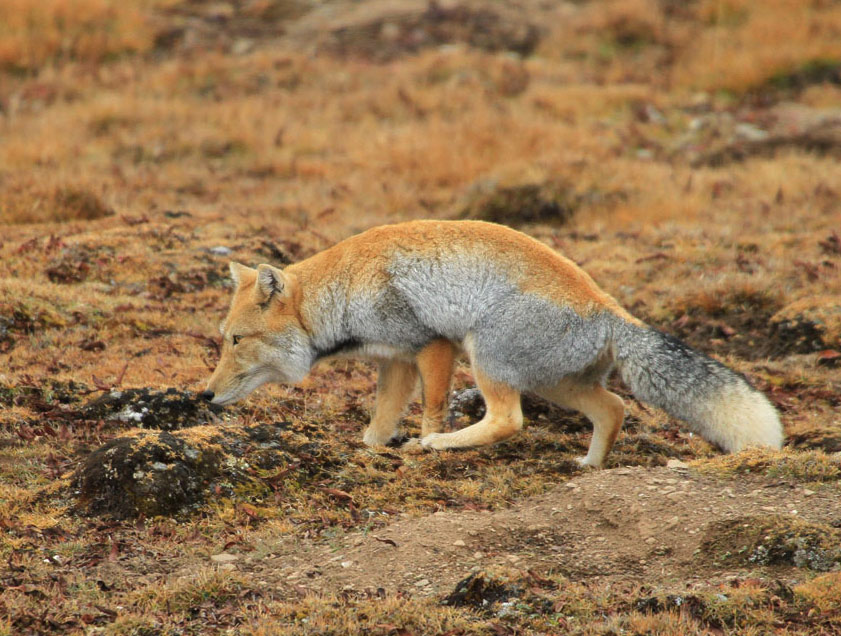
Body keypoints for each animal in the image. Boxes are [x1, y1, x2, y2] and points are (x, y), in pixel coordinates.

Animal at [200, 220, 784, 468]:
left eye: (236, 341)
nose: (204, 395)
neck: (342, 290)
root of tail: (610, 309)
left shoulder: (432, 346)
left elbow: (431, 412)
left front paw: (422, 444)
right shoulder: (395, 363)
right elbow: (378, 425)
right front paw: (372, 451)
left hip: (487, 357)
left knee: (509, 421)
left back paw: (442, 448)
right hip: (557, 386)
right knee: (614, 408)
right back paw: (590, 466)